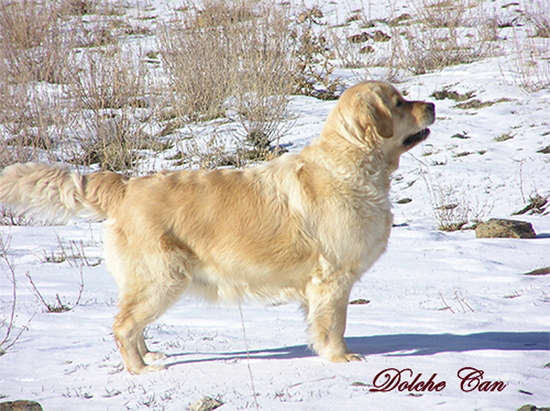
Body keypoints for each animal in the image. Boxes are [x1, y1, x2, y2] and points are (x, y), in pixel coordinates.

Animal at [0, 82, 436, 374]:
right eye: (399, 102)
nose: (431, 104)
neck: (351, 164)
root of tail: (127, 186)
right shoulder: (332, 278)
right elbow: (334, 325)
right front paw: (340, 357)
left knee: (133, 323)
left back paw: (149, 355)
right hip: (163, 277)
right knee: (123, 325)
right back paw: (142, 370)